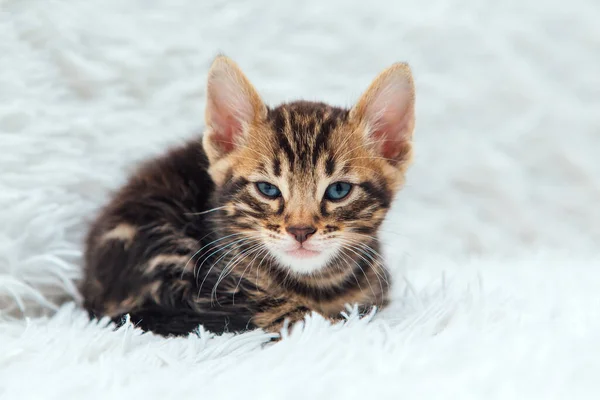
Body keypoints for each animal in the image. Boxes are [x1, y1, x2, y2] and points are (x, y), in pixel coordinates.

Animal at [79, 55, 414, 338]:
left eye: (338, 190)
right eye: (268, 189)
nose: (300, 231)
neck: (316, 284)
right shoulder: (214, 295)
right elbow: (292, 314)